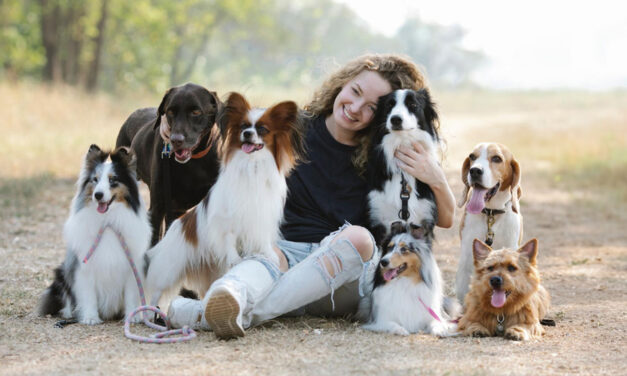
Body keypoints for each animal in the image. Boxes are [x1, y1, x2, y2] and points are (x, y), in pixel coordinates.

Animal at [39, 145, 152, 324]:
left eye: (113, 180)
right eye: (95, 180)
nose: (98, 195)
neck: (108, 222)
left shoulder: (132, 267)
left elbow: (131, 295)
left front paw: (132, 317)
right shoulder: (84, 267)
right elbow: (88, 294)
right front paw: (90, 318)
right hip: (62, 273)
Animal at [145, 93, 306, 306]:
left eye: (263, 129)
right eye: (243, 126)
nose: (247, 133)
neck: (252, 165)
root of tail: (176, 224)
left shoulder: (261, 215)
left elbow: (263, 239)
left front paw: (269, 255)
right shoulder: (226, 218)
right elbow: (229, 238)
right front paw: (235, 259)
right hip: (170, 269)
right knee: (156, 291)